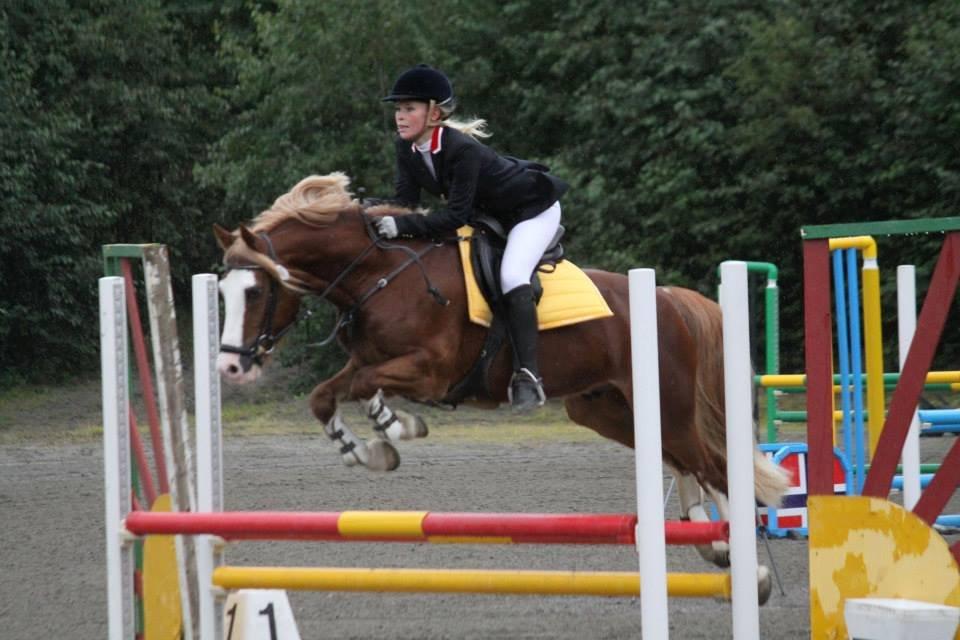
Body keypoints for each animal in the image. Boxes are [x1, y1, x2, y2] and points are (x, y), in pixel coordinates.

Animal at [214, 172, 792, 572]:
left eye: (256, 291)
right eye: (221, 291)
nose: (229, 365)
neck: (381, 274)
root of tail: (670, 298)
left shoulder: (430, 372)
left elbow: (363, 389)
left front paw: (397, 429)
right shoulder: (369, 361)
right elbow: (326, 396)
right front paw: (370, 450)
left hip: (667, 403)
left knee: (714, 466)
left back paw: (751, 569)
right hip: (607, 410)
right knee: (683, 462)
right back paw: (710, 542)